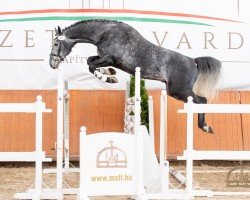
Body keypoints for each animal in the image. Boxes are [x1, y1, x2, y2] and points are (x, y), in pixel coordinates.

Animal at [49, 19, 222, 134]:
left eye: (56, 44)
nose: (52, 63)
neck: (104, 33)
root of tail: (193, 61)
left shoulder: (110, 58)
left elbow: (91, 65)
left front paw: (108, 78)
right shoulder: (105, 58)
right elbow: (90, 61)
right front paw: (111, 74)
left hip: (179, 90)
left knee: (202, 100)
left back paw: (205, 126)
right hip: (176, 91)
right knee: (199, 101)